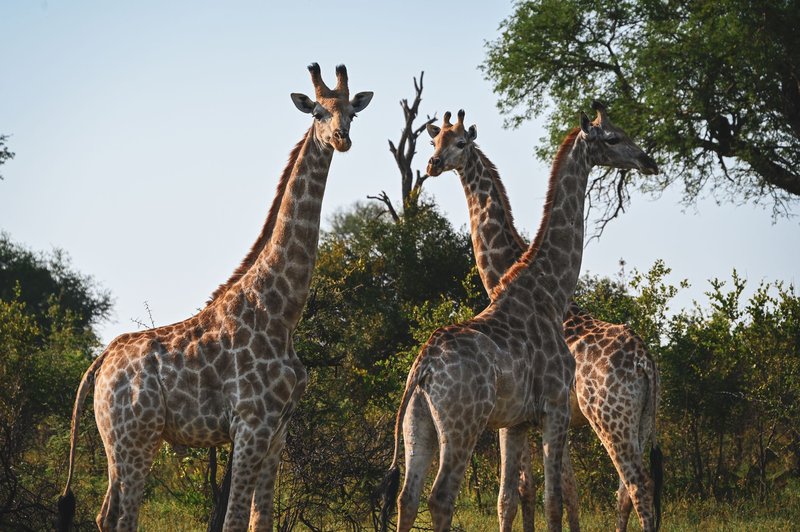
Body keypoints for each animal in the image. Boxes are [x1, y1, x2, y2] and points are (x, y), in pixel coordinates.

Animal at [56, 63, 372, 531]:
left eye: (352, 112)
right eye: (317, 112)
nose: (342, 138)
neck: (281, 313)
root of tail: (101, 361)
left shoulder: (279, 430)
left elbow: (261, 519)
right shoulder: (251, 424)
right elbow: (235, 519)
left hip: (117, 441)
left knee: (105, 514)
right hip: (136, 437)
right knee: (123, 515)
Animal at [380, 105, 658, 532]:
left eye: (459, 142)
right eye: (612, 137)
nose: (648, 161)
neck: (545, 288)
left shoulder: (528, 418)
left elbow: (528, 495)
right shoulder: (547, 411)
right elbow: (545, 497)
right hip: (478, 423)